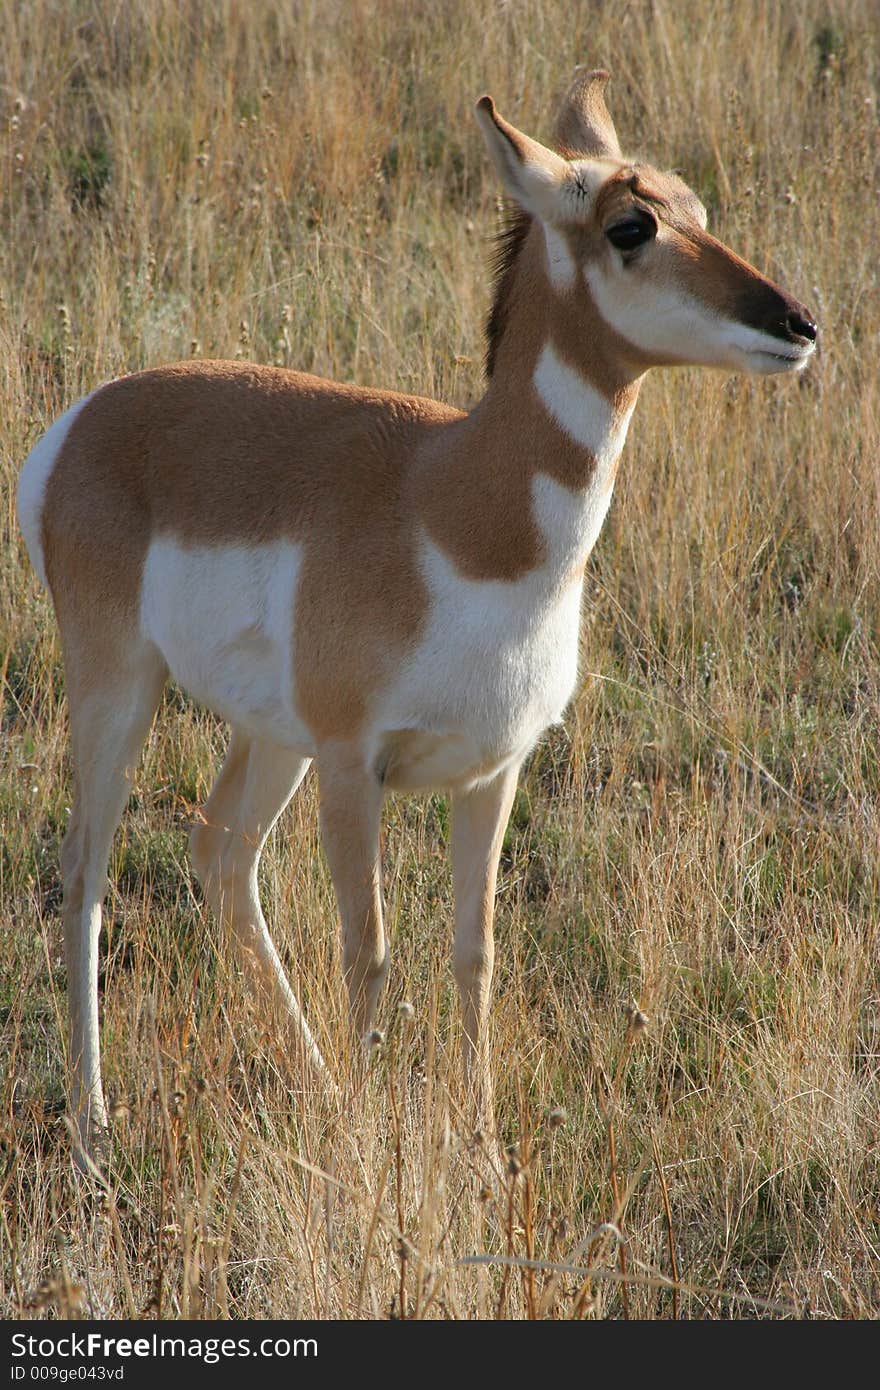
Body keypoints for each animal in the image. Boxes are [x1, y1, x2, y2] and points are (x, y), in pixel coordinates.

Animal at [18, 76, 817, 1162]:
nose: (798, 322)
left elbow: (472, 954)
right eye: (630, 223)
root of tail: (83, 420)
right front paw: (374, 1147)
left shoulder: (492, 772)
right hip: (122, 693)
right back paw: (95, 1122)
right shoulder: (358, 767)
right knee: (86, 874)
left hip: (274, 741)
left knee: (221, 855)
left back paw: (313, 1085)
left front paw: (478, 1148)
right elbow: (370, 954)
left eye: (697, 203)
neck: (455, 506)